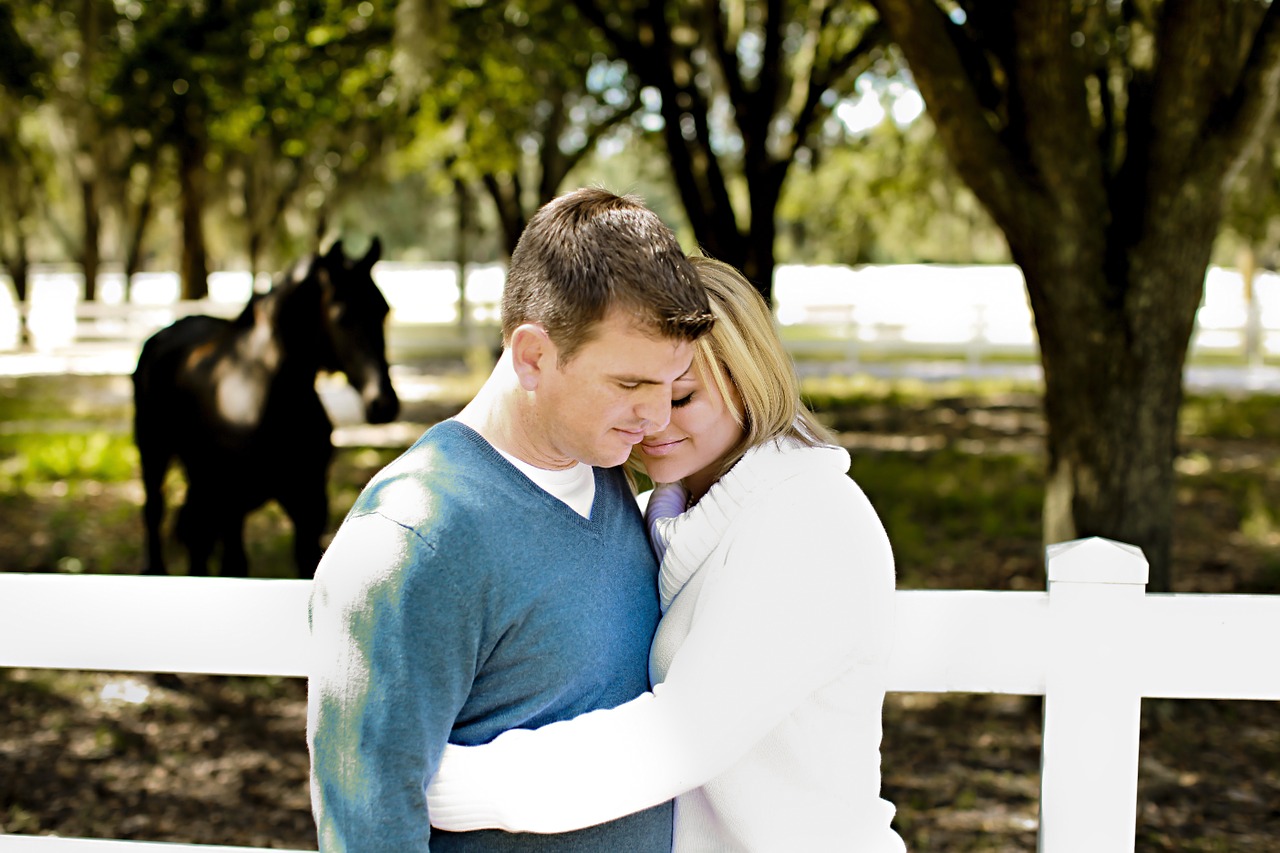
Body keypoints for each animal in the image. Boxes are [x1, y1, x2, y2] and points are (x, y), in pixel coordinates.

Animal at [133, 239, 396, 578]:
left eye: (383, 310)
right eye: (342, 316)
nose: (383, 403)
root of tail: (164, 336)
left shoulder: (309, 506)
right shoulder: (231, 508)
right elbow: (235, 565)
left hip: (200, 479)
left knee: (196, 537)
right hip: (155, 452)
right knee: (157, 511)